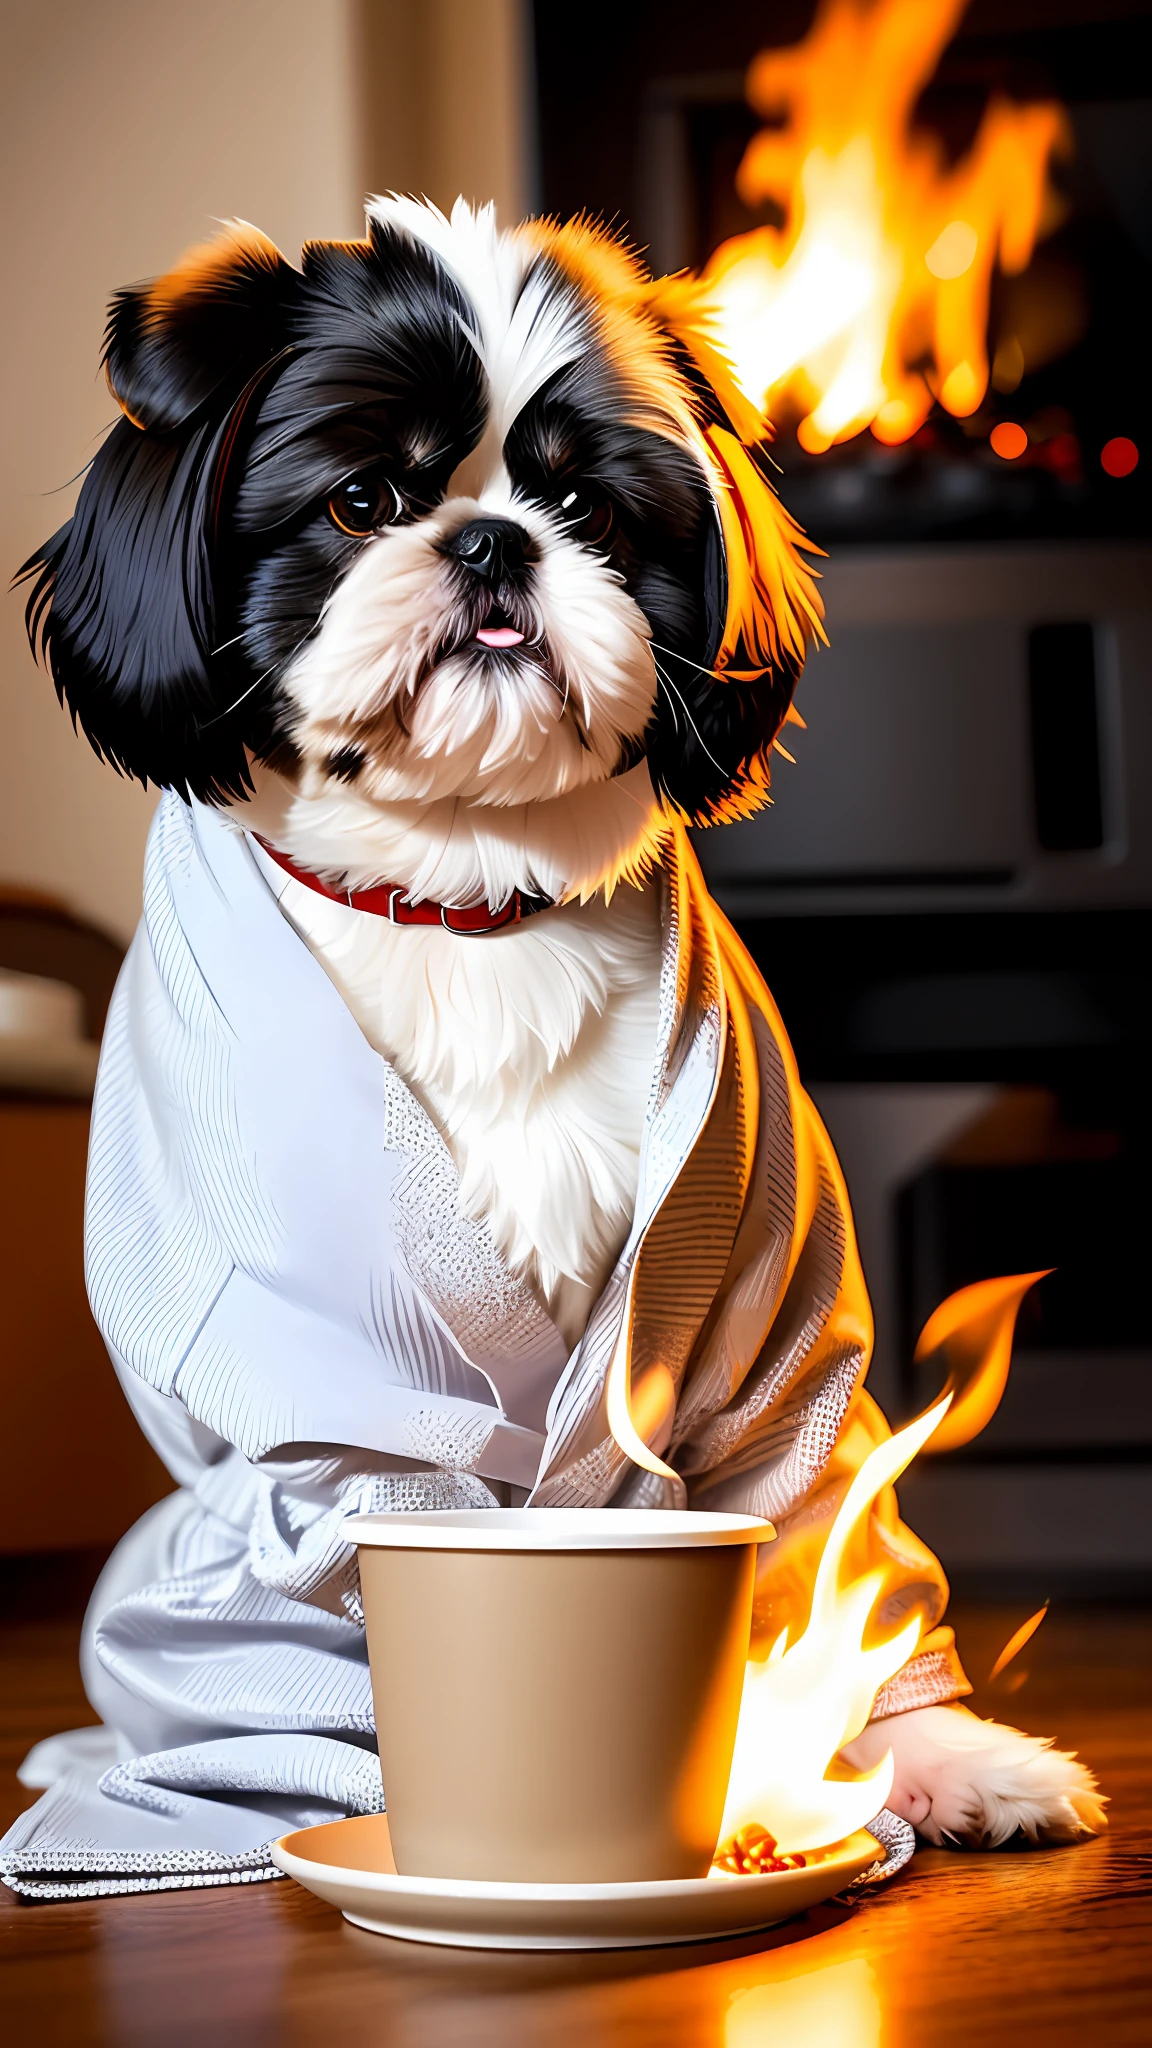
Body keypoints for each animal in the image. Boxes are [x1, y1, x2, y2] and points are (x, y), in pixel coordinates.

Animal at [24, 195, 1090, 1859]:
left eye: (587, 507)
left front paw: (935, 1756)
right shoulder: (346, 1414)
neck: (465, 905)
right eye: (364, 499)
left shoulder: (771, 1345)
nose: (490, 538)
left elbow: (819, 1526)